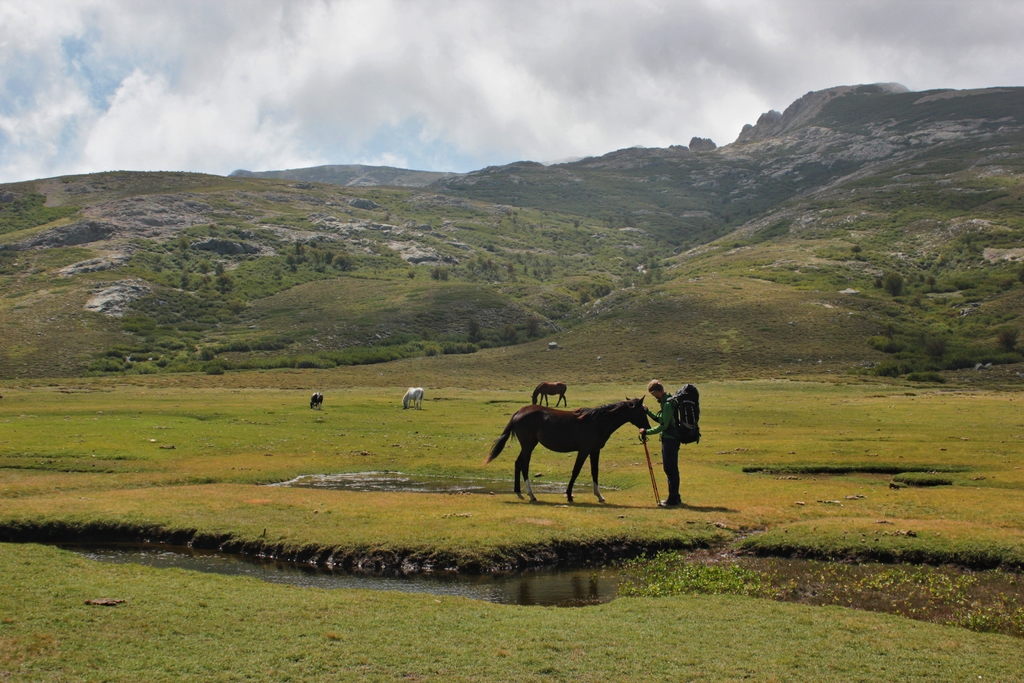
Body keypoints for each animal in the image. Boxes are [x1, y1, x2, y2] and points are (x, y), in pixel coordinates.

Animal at [485, 397, 647, 505]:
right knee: (524, 465)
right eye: (643, 412)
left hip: (527, 446)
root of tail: (519, 411)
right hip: (528, 445)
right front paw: (569, 495)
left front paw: (599, 496)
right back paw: (531, 495)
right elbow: (576, 471)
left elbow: (595, 471)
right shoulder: (584, 451)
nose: (647, 428)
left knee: (517, 463)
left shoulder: (595, 451)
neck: (597, 421)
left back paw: (519, 493)